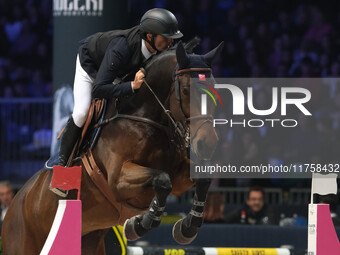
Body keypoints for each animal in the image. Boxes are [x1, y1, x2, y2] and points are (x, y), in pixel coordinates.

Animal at [1, 39, 223, 255]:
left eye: (214, 88)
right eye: (185, 90)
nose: (208, 143)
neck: (145, 120)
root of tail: (12, 207)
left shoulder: (178, 176)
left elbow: (201, 179)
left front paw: (187, 228)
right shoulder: (118, 179)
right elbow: (162, 180)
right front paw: (138, 224)